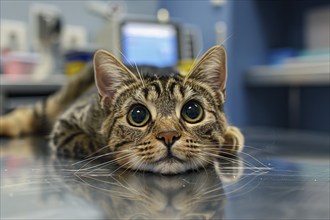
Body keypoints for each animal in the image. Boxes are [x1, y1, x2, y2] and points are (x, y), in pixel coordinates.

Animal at [0, 45, 242, 174]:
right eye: (138, 115)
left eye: (192, 112)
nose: (168, 135)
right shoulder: (65, 126)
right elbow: (93, 144)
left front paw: (229, 135)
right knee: (26, 114)